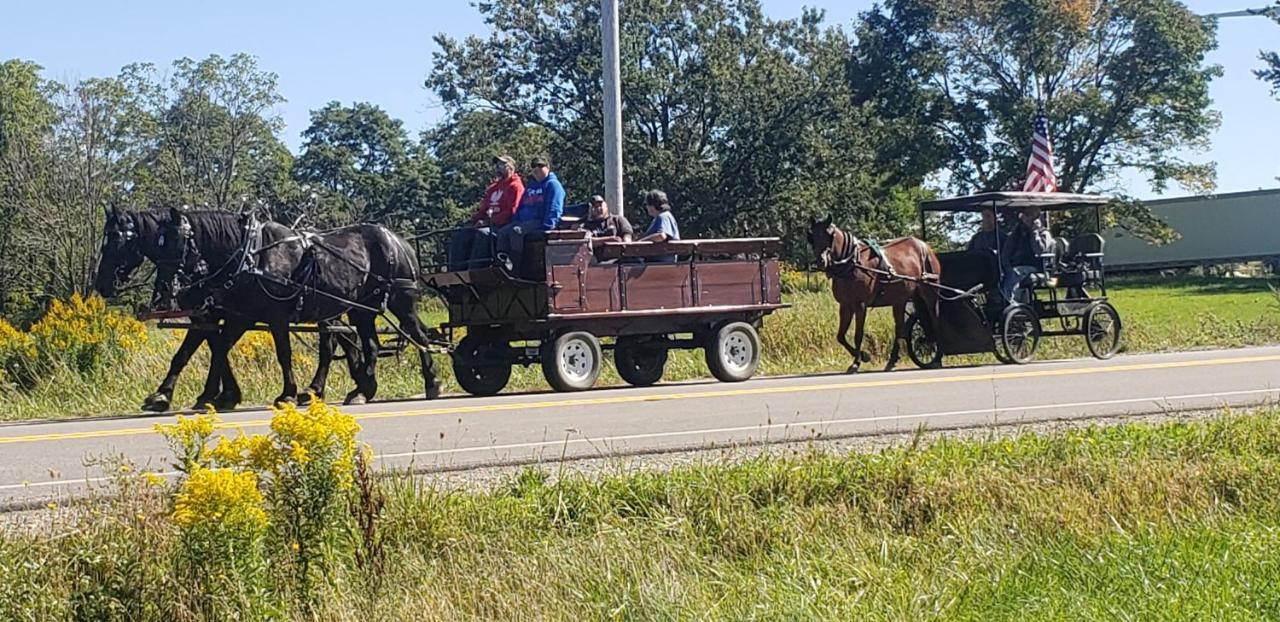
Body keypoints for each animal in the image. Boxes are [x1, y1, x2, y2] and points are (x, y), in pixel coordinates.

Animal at [93, 206, 358, 412]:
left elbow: (220, 350)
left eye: (120, 241)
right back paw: (342, 385)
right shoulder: (210, 316)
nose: (102, 284)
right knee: (342, 338)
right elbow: (202, 351)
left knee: (333, 341)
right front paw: (203, 395)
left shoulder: (245, 317)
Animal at [151, 206, 435, 406]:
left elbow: (282, 353)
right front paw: (214, 396)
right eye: (158, 243)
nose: (164, 288)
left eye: (177, 241)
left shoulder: (275, 316)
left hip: (400, 300)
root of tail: (400, 241)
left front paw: (287, 394)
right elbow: (218, 348)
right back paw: (361, 390)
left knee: (419, 336)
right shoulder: (241, 316)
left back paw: (432, 383)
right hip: (361, 310)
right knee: (370, 344)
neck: (252, 255)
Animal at [808, 217, 942, 371]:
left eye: (830, 236)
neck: (852, 263)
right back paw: (892, 361)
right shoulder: (845, 305)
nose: (821, 261)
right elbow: (840, 336)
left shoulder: (860, 305)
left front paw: (856, 362)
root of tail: (926, 247)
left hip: (930, 294)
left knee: (935, 320)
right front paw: (864, 356)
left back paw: (937, 358)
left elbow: (858, 334)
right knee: (900, 329)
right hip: (900, 300)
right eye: (812, 237)